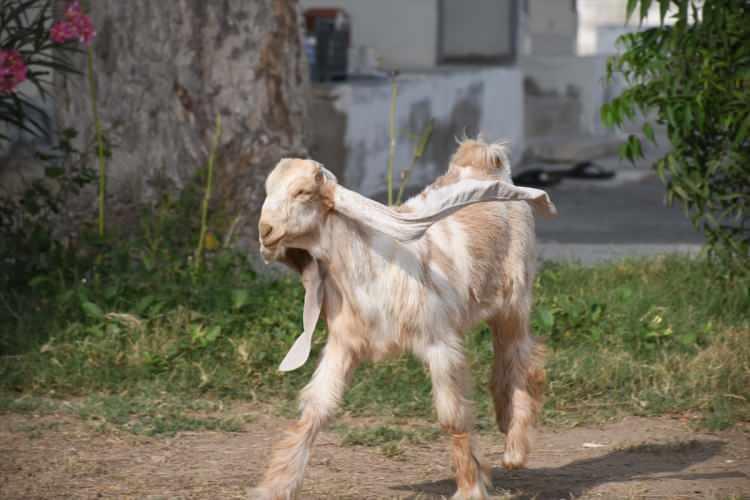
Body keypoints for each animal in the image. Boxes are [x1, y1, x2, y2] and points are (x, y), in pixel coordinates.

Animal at [256, 138, 556, 500]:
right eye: (268, 189)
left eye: (302, 192)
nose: (265, 231)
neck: (373, 264)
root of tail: (485, 160)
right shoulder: (344, 344)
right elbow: (317, 407)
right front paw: (275, 485)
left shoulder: (438, 342)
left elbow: (452, 416)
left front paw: (470, 486)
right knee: (503, 363)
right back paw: (503, 420)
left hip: (514, 300)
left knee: (524, 359)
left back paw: (515, 448)